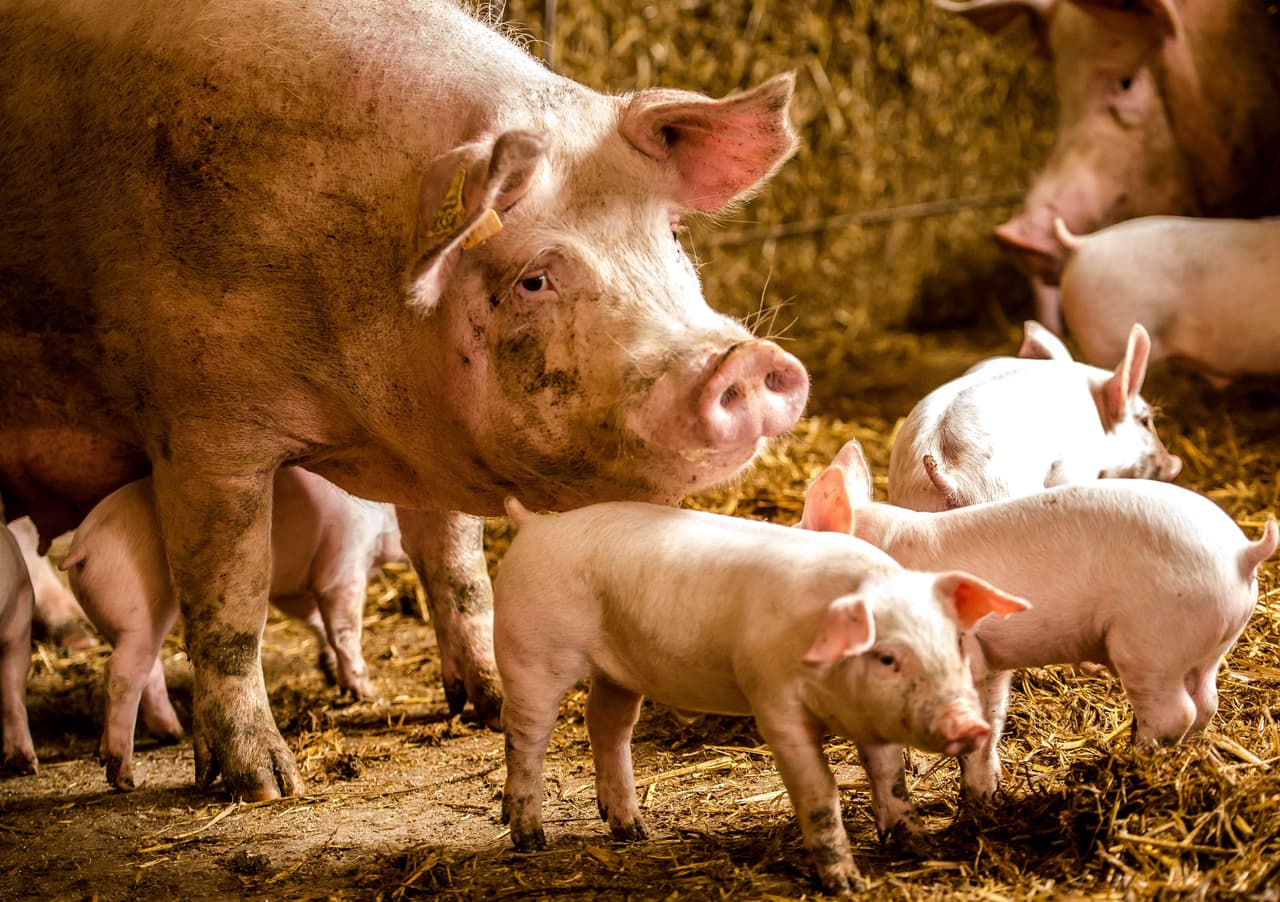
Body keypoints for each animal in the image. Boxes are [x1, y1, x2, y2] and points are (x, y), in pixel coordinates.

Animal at [61, 468, 403, 791]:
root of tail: (83, 547)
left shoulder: (295, 592)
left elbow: (317, 622)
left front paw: (331, 672)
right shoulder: (342, 568)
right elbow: (344, 630)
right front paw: (368, 693)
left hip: (123, 622)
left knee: (146, 668)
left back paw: (169, 734)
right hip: (139, 610)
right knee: (121, 672)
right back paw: (124, 778)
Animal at [494, 497, 1030, 896]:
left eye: (956, 642)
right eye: (886, 657)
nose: (970, 723)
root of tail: (535, 525)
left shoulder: (873, 719)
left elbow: (889, 777)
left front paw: (917, 847)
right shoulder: (774, 703)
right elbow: (821, 791)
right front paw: (848, 885)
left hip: (619, 671)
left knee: (607, 724)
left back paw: (632, 830)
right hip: (529, 654)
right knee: (524, 736)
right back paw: (530, 839)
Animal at [805, 439, 1279, 798]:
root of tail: (1243, 553)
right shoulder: (989, 660)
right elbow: (992, 719)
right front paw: (982, 796)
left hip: (1151, 643)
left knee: (1175, 713)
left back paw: (1132, 762)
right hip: (1208, 645)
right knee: (1206, 702)